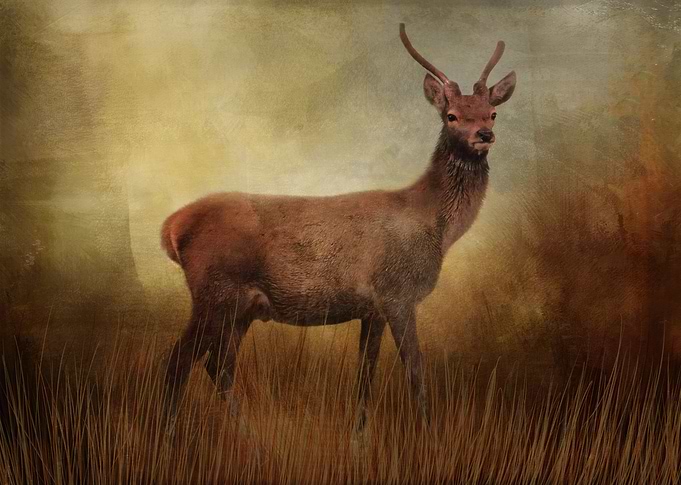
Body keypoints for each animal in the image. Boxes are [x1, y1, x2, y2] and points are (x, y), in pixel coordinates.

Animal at [160, 23, 516, 434]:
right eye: (452, 116)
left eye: (493, 113)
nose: (484, 135)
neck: (434, 227)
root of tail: (171, 227)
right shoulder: (397, 293)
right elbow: (415, 370)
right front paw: (429, 433)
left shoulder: (373, 309)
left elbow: (365, 376)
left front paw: (359, 434)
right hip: (214, 291)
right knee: (178, 361)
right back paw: (170, 437)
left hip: (239, 307)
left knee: (218, 366)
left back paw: (249, 435)